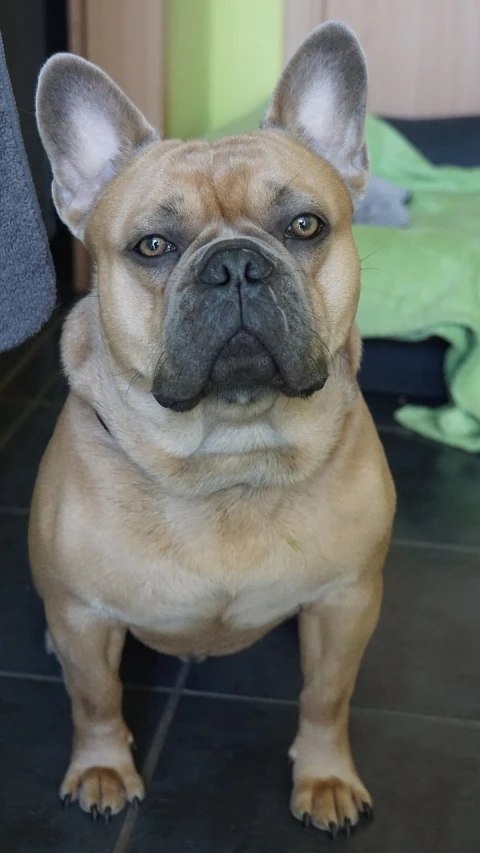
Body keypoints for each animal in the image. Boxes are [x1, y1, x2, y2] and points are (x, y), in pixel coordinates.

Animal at [30, 21, 396, 840]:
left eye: (304, 226)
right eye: (153, 246)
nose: (234, 265)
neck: (231, 453)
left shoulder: (348, 602)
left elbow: (328, 697)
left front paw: (325, 777)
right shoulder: (83, 616)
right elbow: (94, 696)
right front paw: (103, 768)